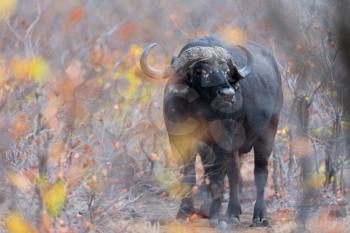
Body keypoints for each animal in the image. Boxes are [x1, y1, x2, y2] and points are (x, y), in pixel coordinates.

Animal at [139, 36, 282, 228]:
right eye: (200, 70)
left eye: (226, 70)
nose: (228, 93)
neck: (198, 112)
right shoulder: (179, 140)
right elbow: (190, 175)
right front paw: (184, 212)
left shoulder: (222, 140)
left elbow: (216, 176)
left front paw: (215, 216)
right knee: (234, 173)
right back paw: (232, 213)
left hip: (267, 134)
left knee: (260, 173)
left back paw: (259, 217)